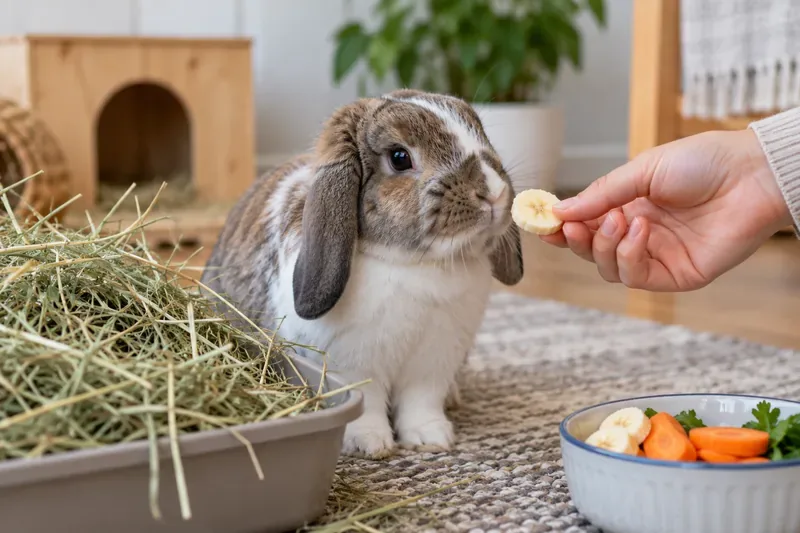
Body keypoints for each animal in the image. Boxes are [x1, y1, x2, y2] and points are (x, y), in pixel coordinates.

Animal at [200, 89, 524, 458]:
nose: (495, 193)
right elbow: (365, 403)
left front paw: (430, 439)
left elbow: (421, 403)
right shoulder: (352, 365)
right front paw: (369, 443)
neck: (411, 264)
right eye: (399, 157)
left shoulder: (432, 364)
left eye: (480, 132)